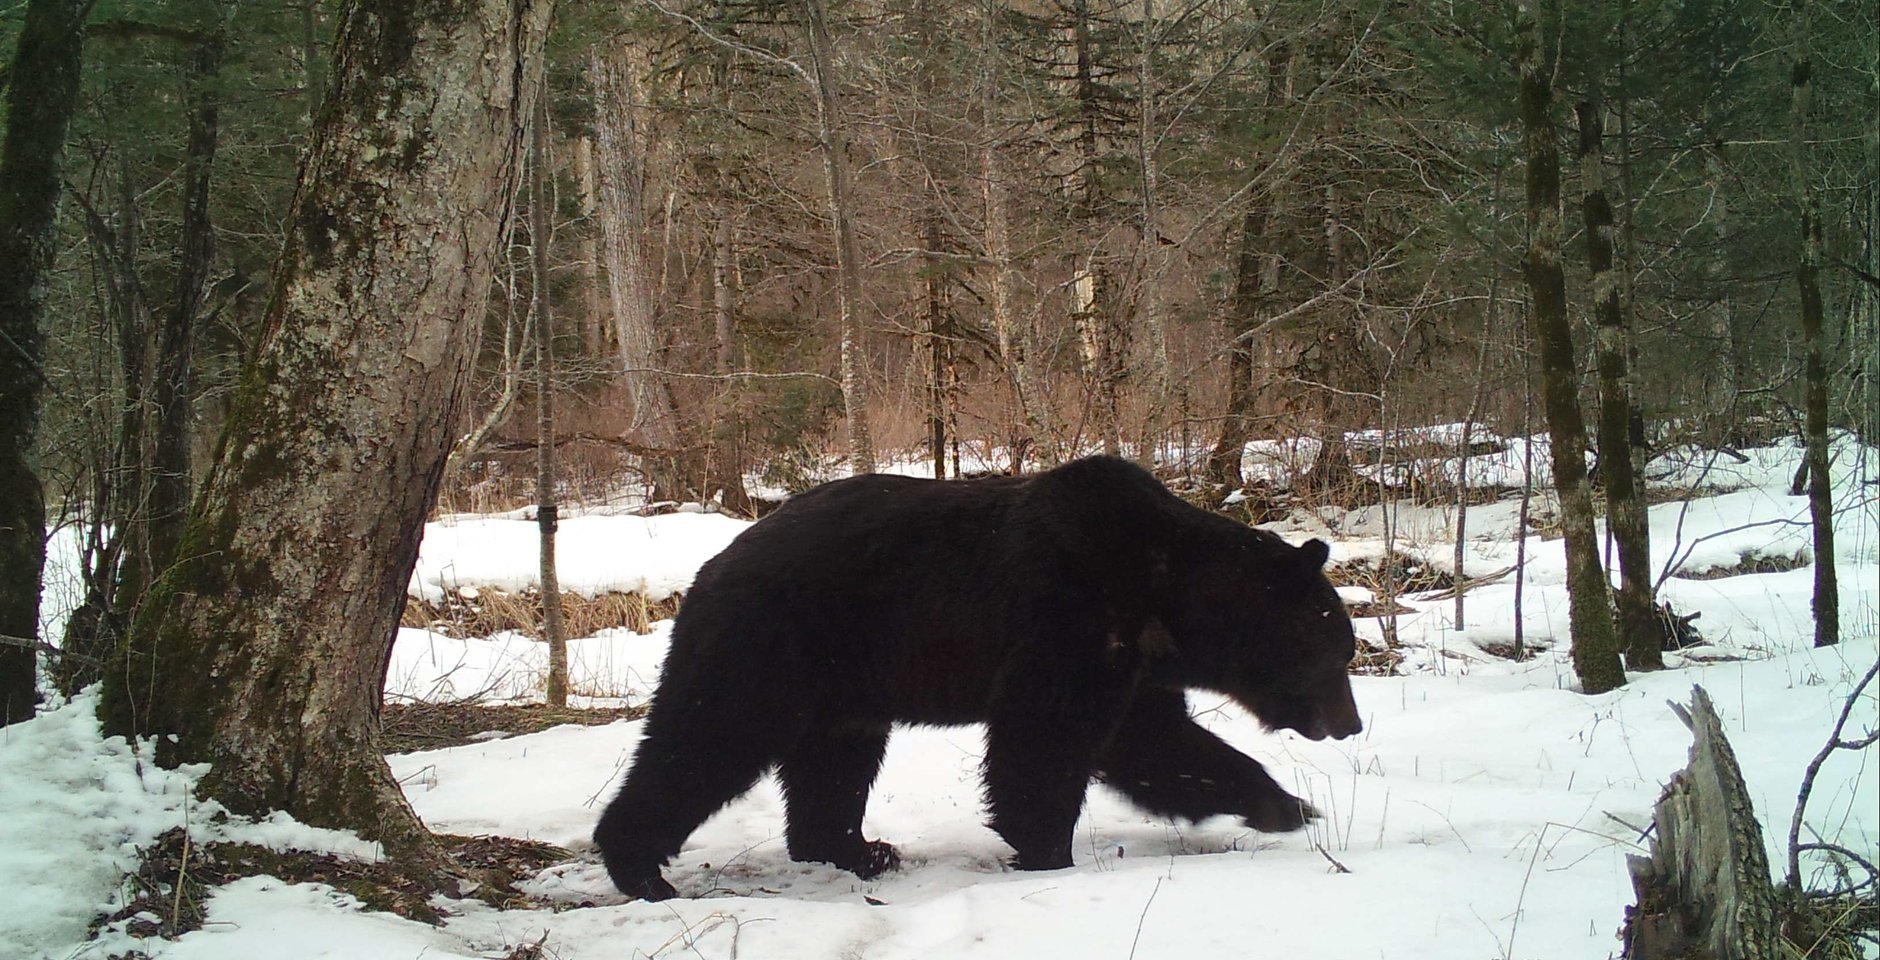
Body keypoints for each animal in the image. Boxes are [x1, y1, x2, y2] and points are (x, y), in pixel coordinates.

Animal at [593, 455, 1363, 900]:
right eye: (1339, 651)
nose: (1351, 723)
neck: (1163, 591)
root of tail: (709, 567)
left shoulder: (1134, 657)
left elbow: (1156, 744)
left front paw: (1285, 806)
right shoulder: (1067, 617)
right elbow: (1046, 740)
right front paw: (1048, 851)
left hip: (844, 681)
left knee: (832, 764)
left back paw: (859, 851)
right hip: (770, 645)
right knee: (708, 738)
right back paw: (641, 869)